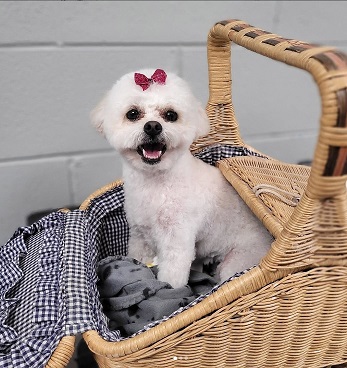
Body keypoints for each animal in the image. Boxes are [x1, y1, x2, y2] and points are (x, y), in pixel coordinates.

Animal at [91, 68, 274, 288]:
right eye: (132, 114)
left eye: (171, 115)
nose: (153, 126)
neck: (156, 184)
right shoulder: (140, 235)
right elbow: (138, 259)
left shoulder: (177, 241)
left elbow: (172, 277)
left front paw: (168, 289)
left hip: (238, 259)